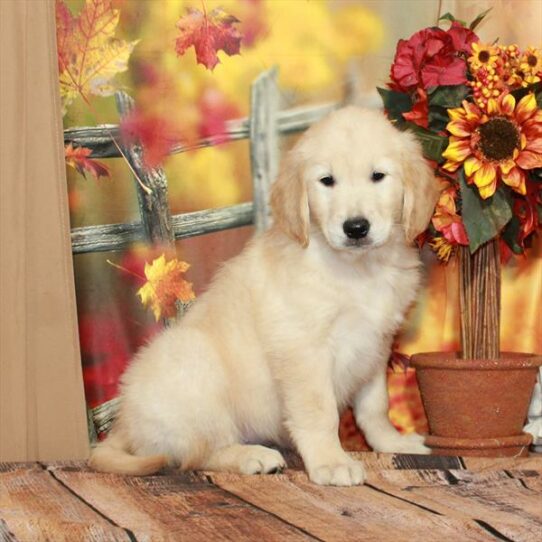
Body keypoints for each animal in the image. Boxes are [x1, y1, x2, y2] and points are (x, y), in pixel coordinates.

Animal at [91, 106, 442, 488]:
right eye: (327, 181)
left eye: (378, 176)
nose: (356, 228)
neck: (358, 269)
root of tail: (124, 423)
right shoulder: (302, 348)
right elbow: (320, 412)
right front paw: (331, 461)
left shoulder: (376, 343)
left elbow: (375, 406)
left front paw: (391, 441)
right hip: (197, 365)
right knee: (196, 454)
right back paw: (251, 457)